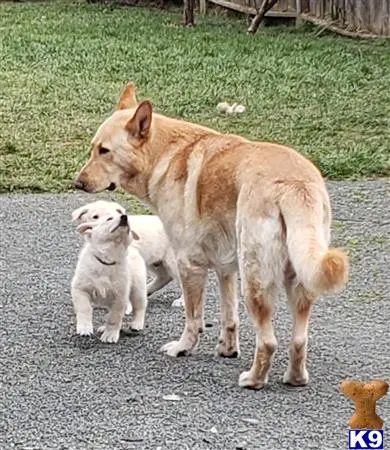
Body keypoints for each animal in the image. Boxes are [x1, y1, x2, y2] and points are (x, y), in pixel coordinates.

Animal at [71, 210, 148, 342]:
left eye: (128, 221)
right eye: (109, 219)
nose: (124, 217)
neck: (107, 260)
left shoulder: (120, 296)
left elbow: (114, 317)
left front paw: (110, 335)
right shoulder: (80, 289)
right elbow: (84, 308)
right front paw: (84, 328)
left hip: (138, 287)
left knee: (140, 306)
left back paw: (136, 324)